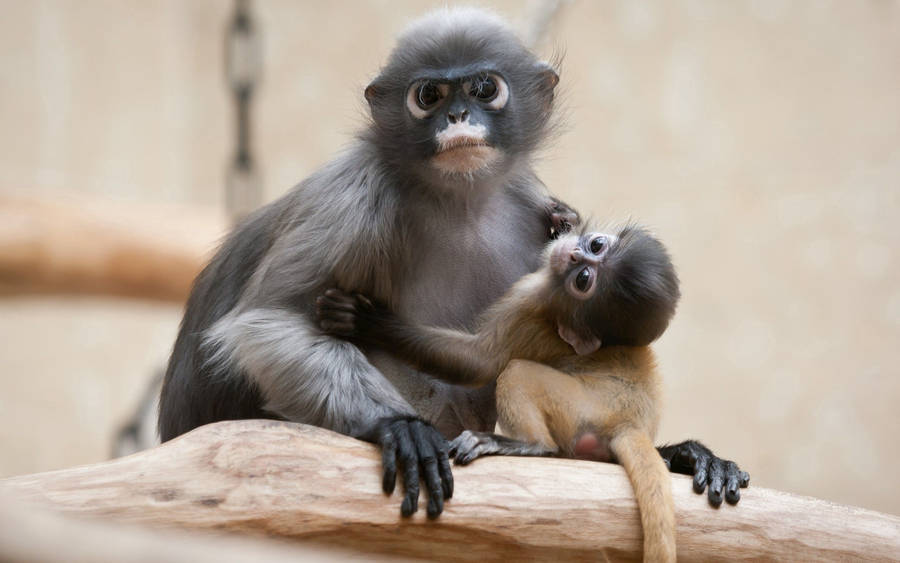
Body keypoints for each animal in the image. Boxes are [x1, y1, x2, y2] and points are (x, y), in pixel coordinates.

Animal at [158, 7, 747, 519]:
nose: (458, 116)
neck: (460, 201)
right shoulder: (354, 195)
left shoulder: (530, 206)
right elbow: (268, 323)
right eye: (429, 95)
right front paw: (401, 427)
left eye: (484, 88)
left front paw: (685, 453)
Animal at [317, 224, 749, 558]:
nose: (573, 253)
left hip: (579, 406)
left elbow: (479, 362)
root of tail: (627, 422)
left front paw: (368, 321)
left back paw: (527, 444)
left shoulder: (532, 299)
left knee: (517, 374)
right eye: (596, 246)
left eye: (583, 281)